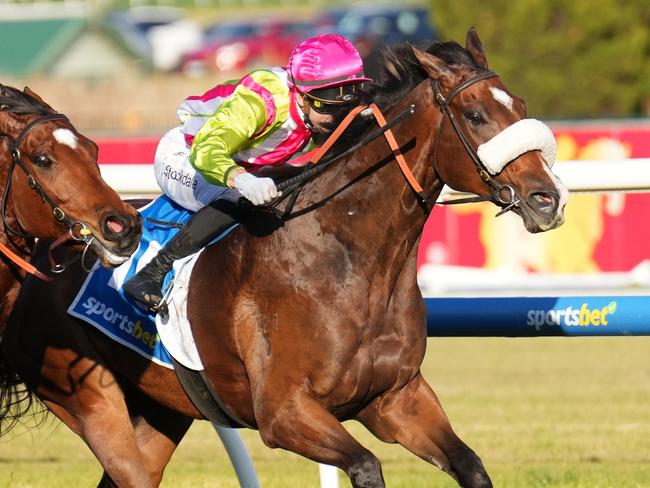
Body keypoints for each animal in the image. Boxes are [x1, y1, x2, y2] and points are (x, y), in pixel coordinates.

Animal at [2, 28, 564, 486]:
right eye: (475, 115)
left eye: (518, 105)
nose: (548, 199)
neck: (350, 261)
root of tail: (44, 257)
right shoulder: (285, 413)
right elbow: (366, 466)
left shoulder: (397, 398)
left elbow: (470, 465)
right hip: (88, 400)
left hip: (161, 408)